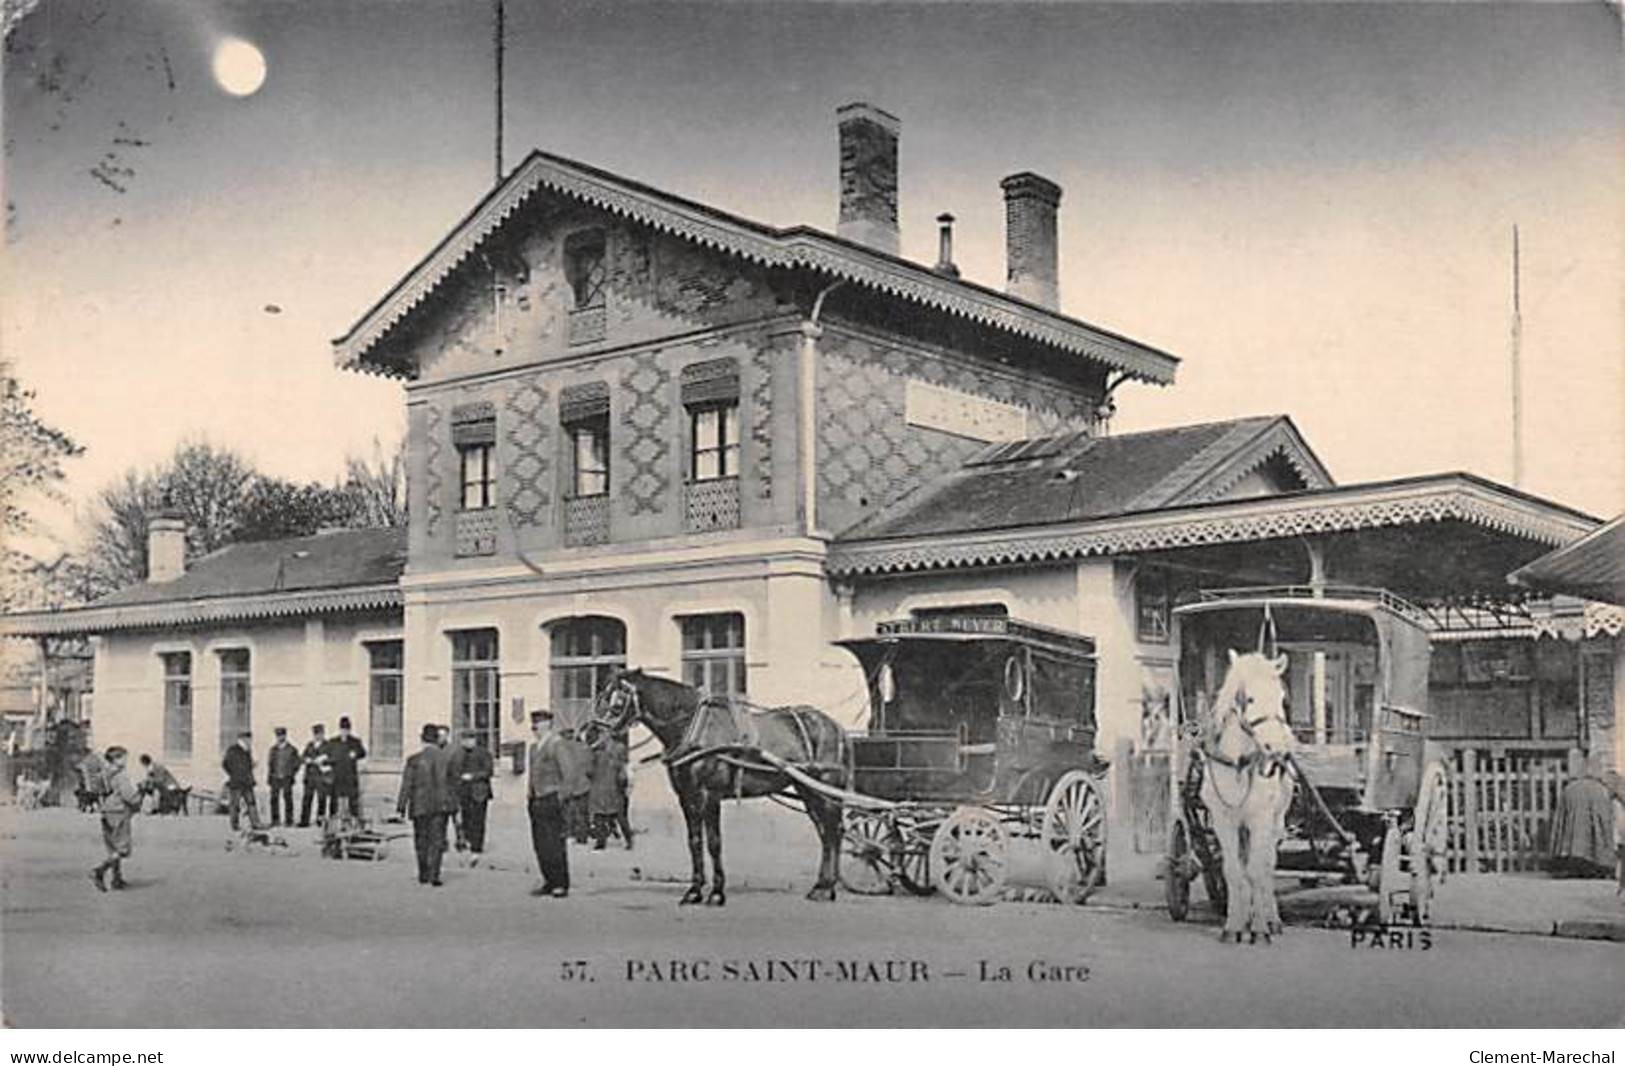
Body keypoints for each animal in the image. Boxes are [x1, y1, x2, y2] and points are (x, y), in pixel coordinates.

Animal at [591, 669, 858, 903]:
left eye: (616, 702)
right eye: (601, 696)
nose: (589, 733)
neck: (693, 728)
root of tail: (835, 726)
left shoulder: (710, 796)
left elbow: (714, 842)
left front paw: (717, 893)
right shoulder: (686, 797)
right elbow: (695, 841)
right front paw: (694, 891)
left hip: (824, 789)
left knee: (832, 832)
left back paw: (826, 888)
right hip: (808, 790)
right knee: (826, 833)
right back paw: (823, 886)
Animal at [1202, 650, 1300, 942]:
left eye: (1281, 697)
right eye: (1250, 698)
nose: (1277, 747)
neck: (1239, 765)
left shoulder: (1260, 819)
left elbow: (1257, 870)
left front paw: (1259, 929)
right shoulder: (1224, 821)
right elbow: (1234, 871)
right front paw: (1234, 925)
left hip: (1276, 822)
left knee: (1267, 865)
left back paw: (1270, 918)